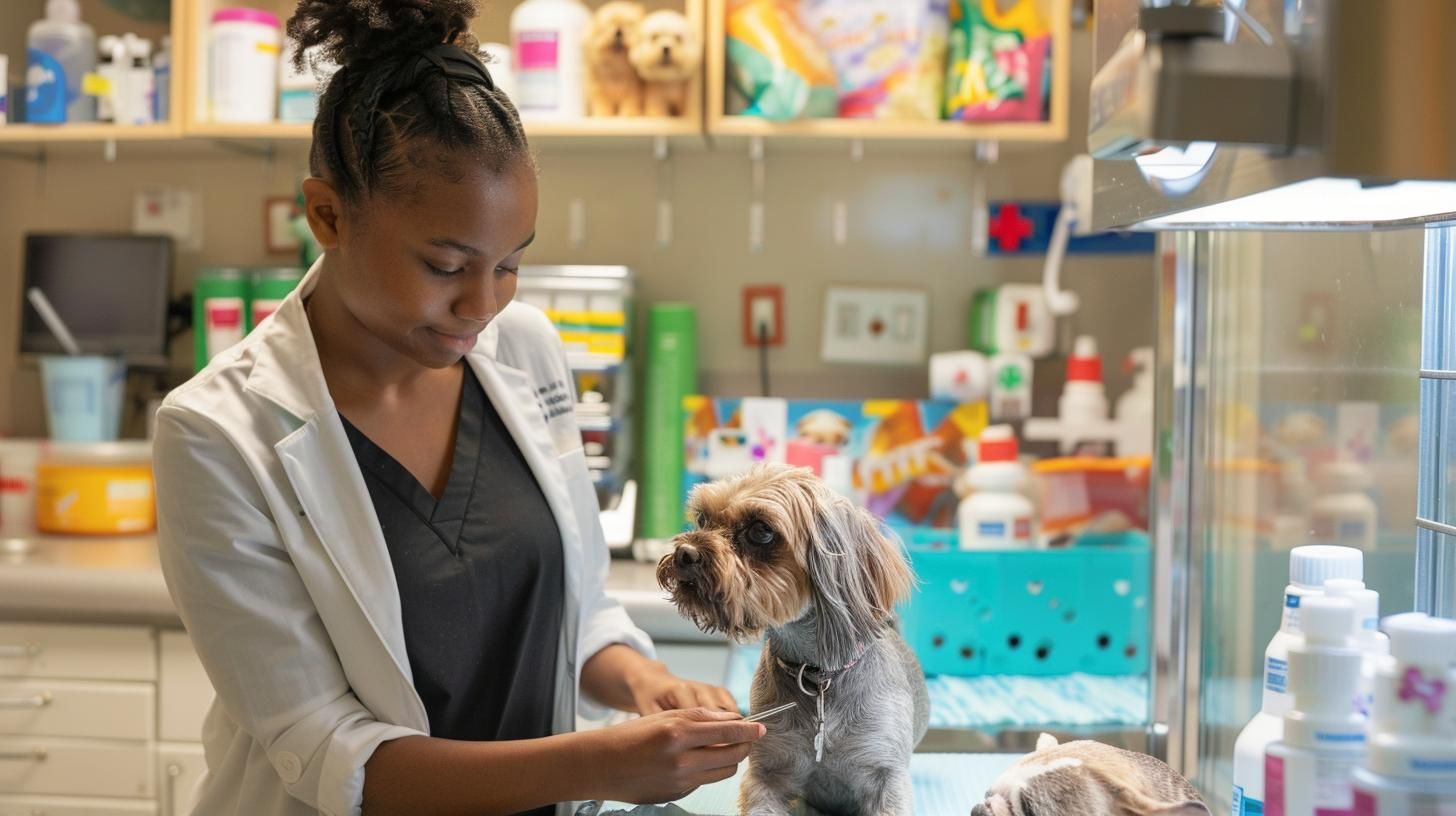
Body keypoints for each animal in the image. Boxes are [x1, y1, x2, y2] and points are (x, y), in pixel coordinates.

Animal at [658, 466, 926, 816]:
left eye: (761, 530)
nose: (684, 553)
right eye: (702, 518)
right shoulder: (767, 771)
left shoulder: (886, 774)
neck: (818, 678)